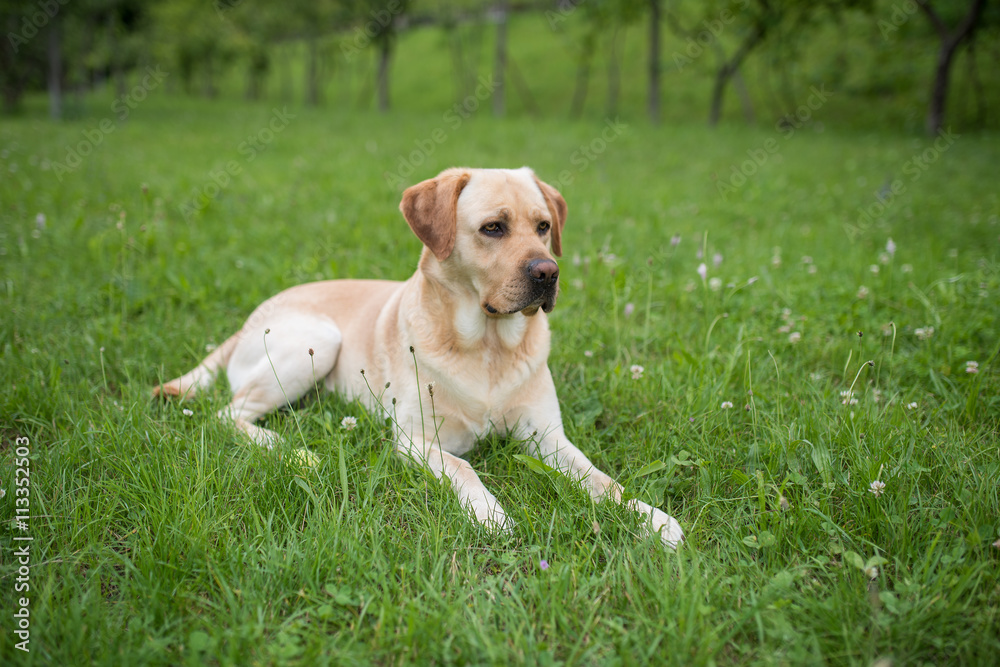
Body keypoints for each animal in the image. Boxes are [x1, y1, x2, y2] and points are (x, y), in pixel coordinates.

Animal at [156, 166, 684, 548]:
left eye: (543, 227)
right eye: (493, 228)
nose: (548, 272)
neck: (488, 348)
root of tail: (251, 316)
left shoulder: (548, 438)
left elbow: (603, 481)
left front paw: (652, 519)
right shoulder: (416, 440)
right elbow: (465, 468)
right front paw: (491, 514)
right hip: (317, 341)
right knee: (228, 415)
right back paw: (293, 452)